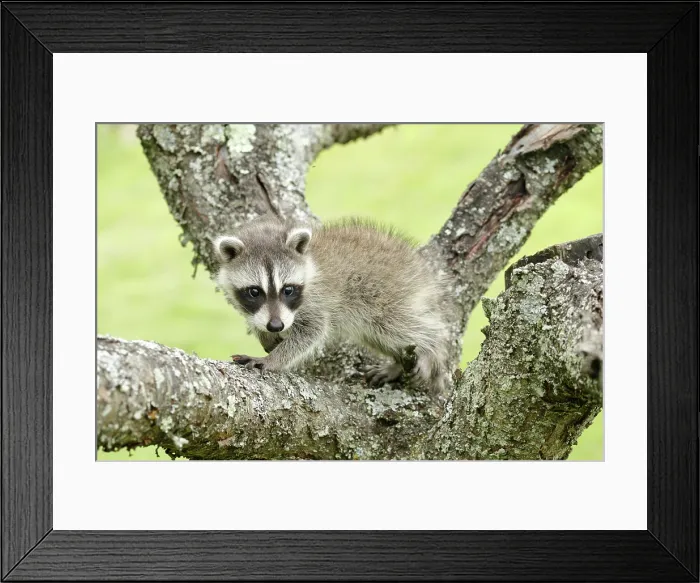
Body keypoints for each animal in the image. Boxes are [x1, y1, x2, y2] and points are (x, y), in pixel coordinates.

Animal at [213, 214, 453, 397]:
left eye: (288, 290)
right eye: (255, 292)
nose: (275, 326)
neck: (308, 263)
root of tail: (421, 269)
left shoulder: (315, 301)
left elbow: (310, 332)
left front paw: (272, 360)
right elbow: (255, 317)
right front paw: (264, 335)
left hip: (389, 297)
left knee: (405, 328)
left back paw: (431, 350)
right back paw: (397, 362)